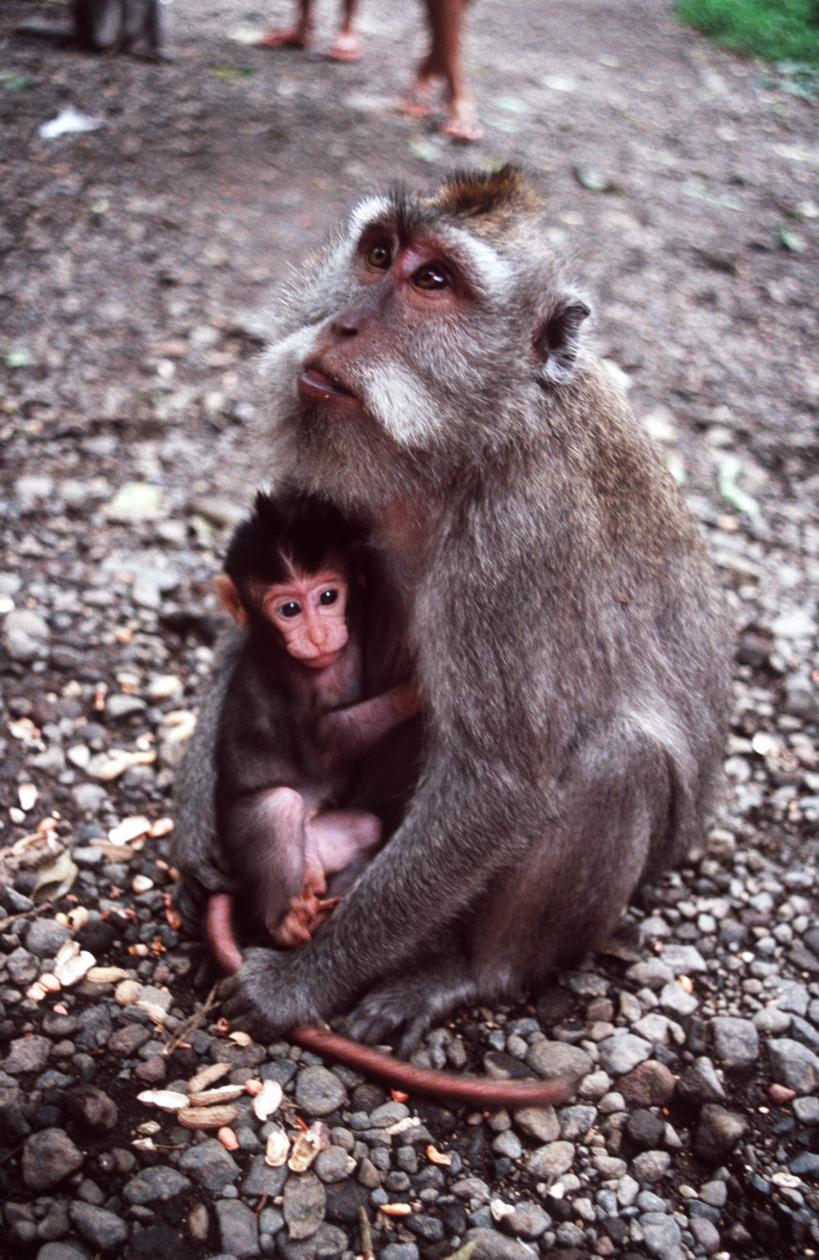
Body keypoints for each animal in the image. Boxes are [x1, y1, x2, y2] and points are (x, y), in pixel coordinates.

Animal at [211, 489, 420, 953]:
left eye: (327, 597)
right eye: (289, 608)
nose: (319, 636)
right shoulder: (289, 687)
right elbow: (326, 743)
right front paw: (414, 692)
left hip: (322, 841)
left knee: (365, 828)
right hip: (240, 833)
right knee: (278, 805)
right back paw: (286, 924)